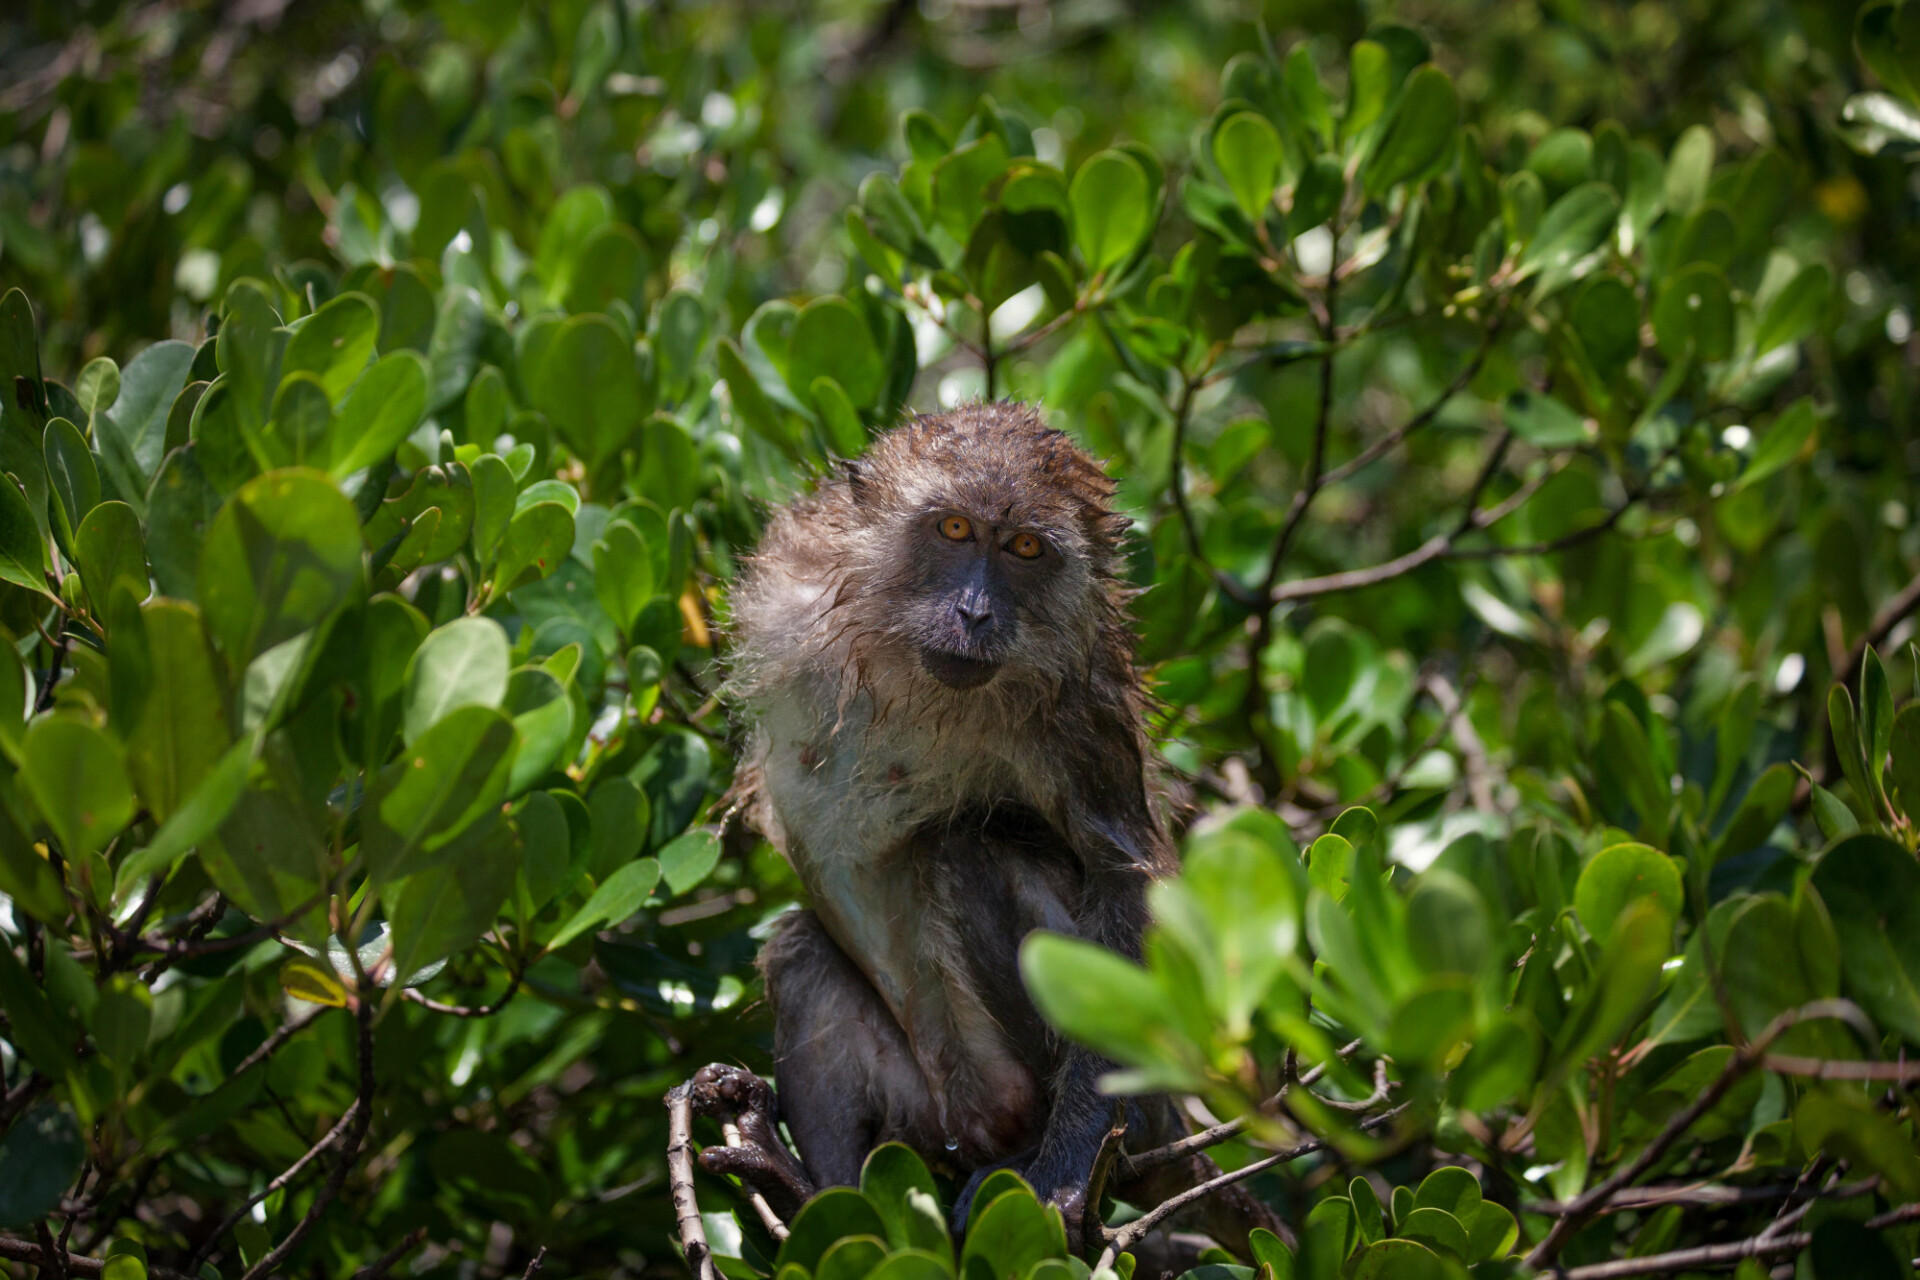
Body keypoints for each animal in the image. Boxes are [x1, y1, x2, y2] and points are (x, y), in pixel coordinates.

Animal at [691, 404, 1274, 1258]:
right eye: (955, 529)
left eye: (1025, 549)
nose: (974, 613)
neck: (907, 667)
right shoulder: (786, 598)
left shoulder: (1076, 707)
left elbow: (1122, 877)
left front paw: (1064, 1168)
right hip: (925, 1111)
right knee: (803, 953)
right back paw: (805, 1195)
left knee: (966, 845)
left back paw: (1047, 1152)